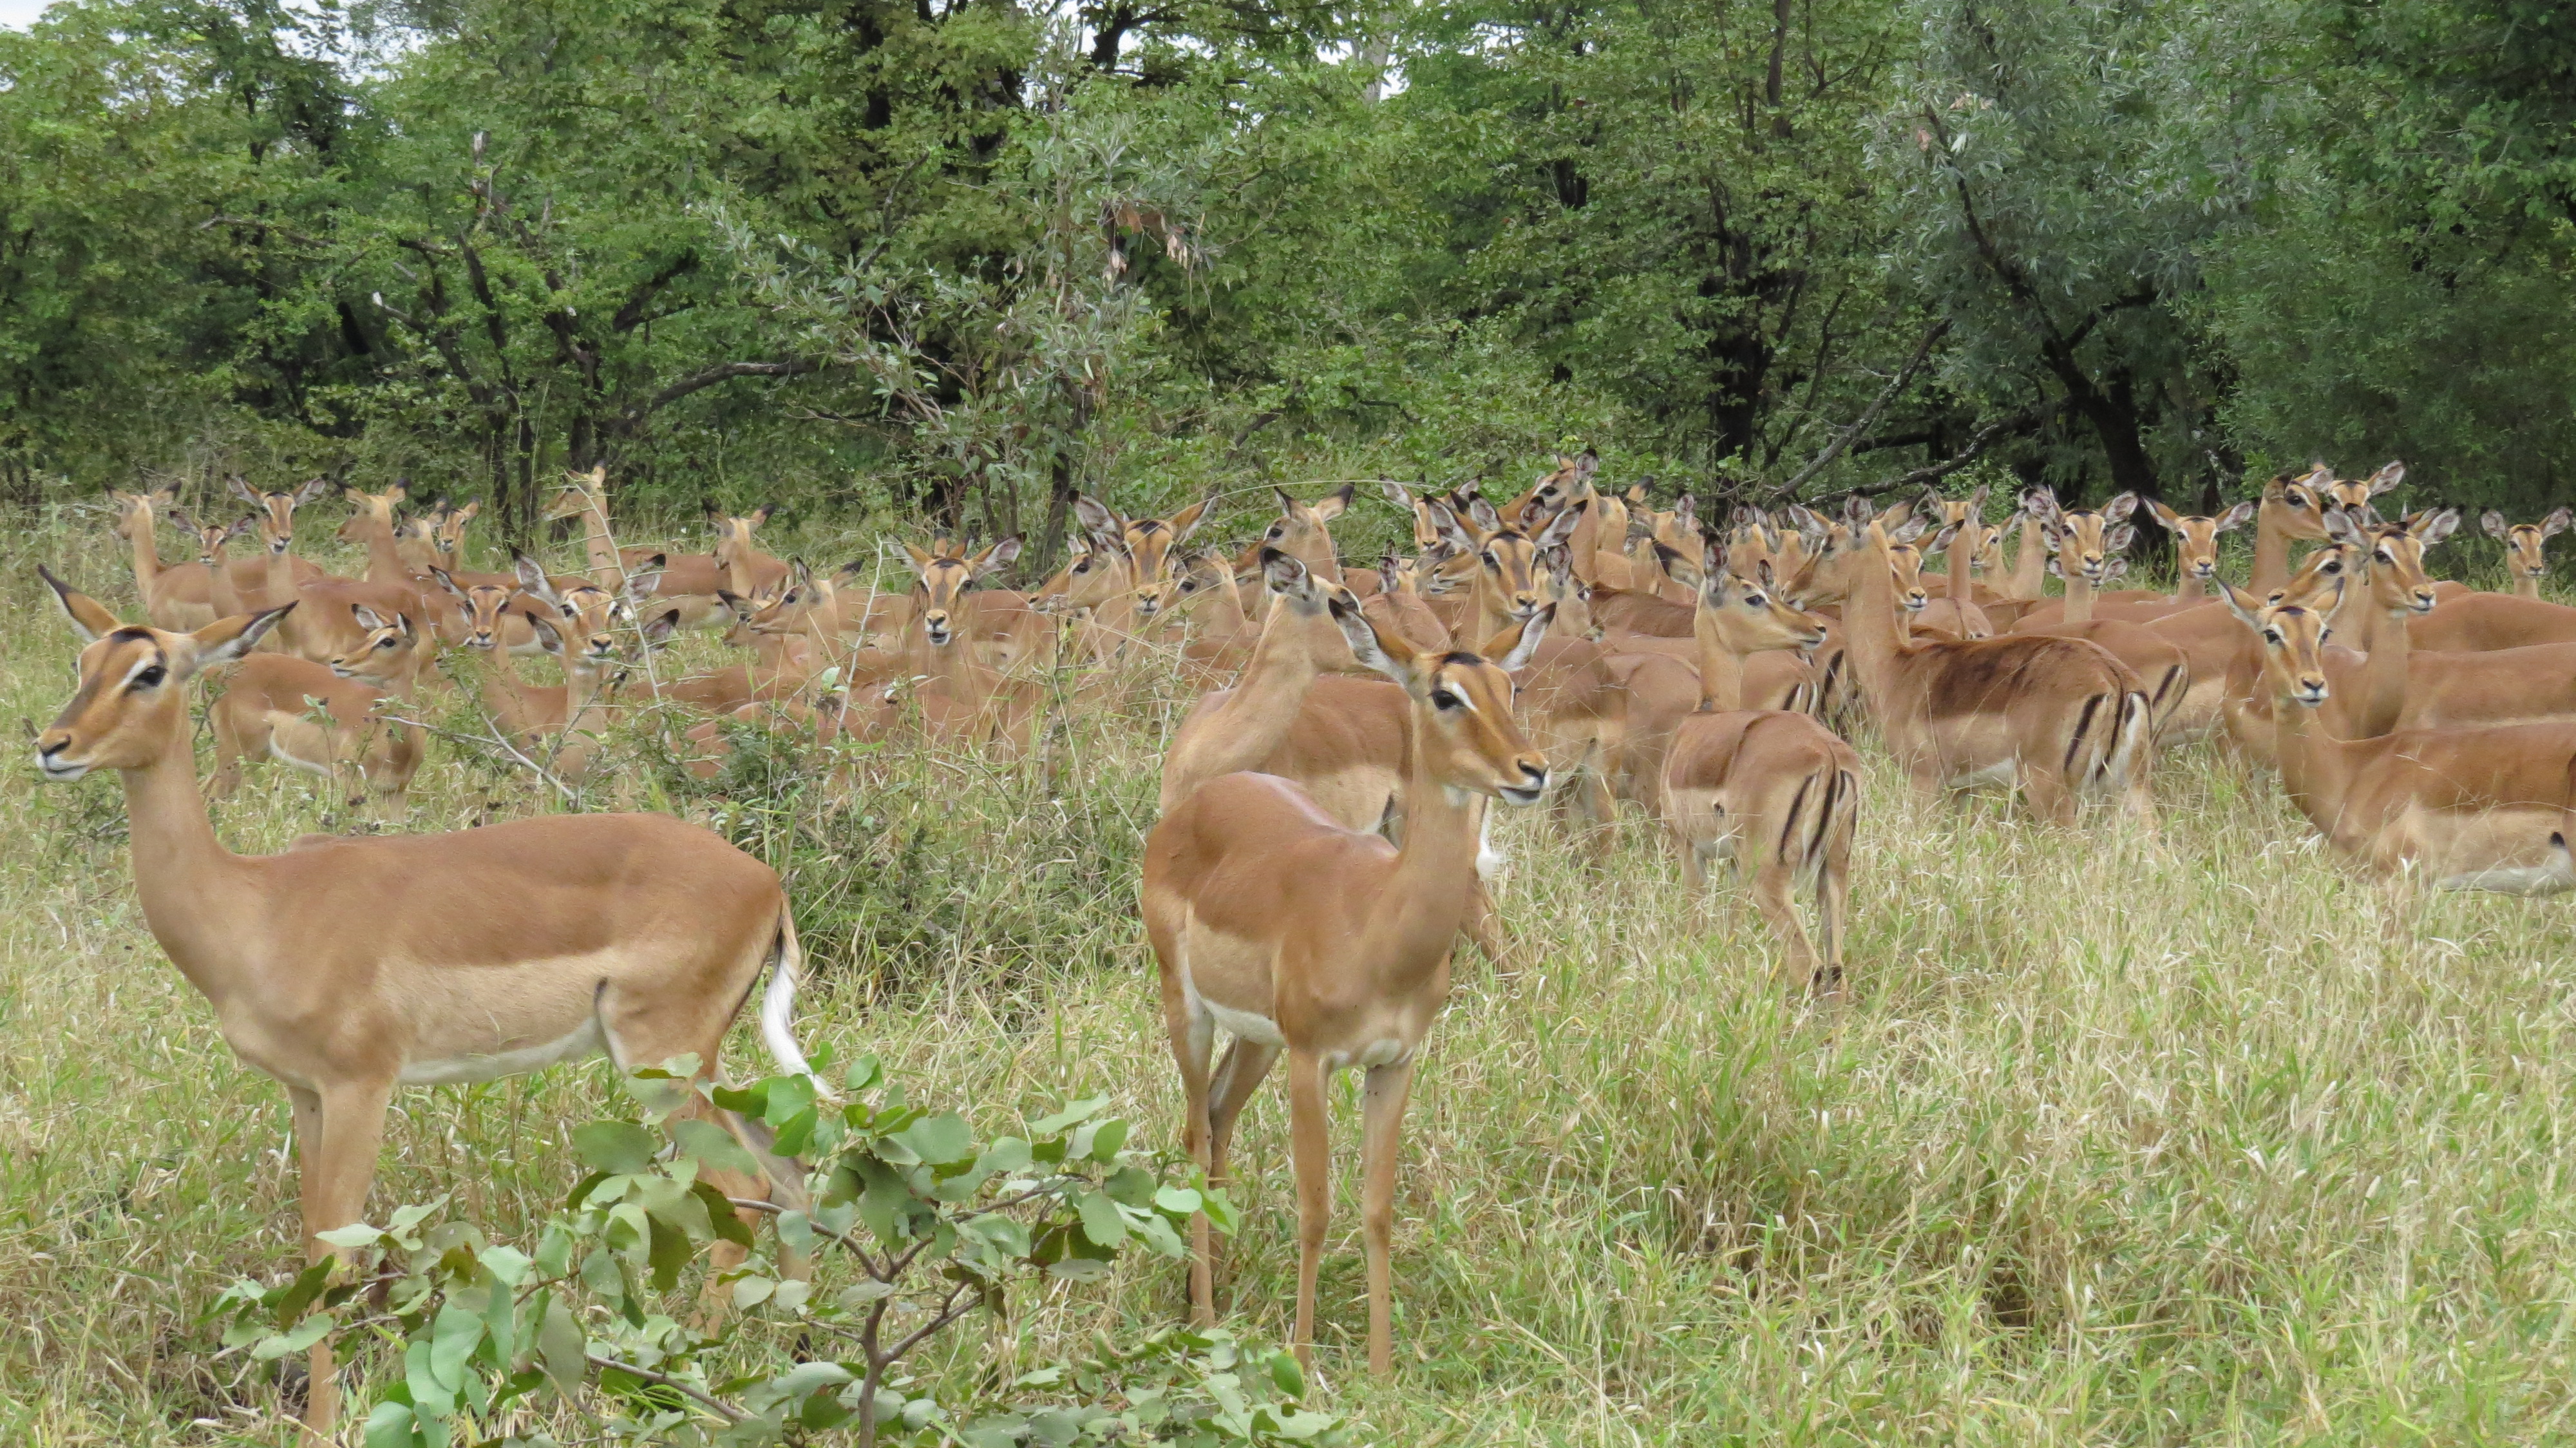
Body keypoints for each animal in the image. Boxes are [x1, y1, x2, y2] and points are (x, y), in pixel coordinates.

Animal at [209, 605, 429, 820]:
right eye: (370, 636)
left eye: (388, 641)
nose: (338, 661)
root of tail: (214, 672)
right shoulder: (349, 783)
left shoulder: (395, 792)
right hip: (236, 756)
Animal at [1144, 593, 1550, 1377]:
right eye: (1444, 694)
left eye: (1509, 687)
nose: (1533, 769)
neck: (1377, 923)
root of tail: (1198, 801)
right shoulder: (1313, 1063)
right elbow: (1315, 1209)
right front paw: (1301, 1363)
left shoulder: (1394, 1064)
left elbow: (1376, 1209)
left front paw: (1383, 1370)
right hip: (1191, 1012)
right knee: (1195, 1132)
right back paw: (1202, 1314)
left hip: (1258, 1040)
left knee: (1218, 1115)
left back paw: (1214, 1283)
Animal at [1660, 559, 1859, 990]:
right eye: (1754, 596)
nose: (1815, 628)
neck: (1703, 717)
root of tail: (1828, 755)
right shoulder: (1734, 864)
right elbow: (1732, 927)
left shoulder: (1688, 847)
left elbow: (1694, 922)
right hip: (1833, 872)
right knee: (1836, 971)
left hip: (1769, 877)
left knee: (1808, 967)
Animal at [1847, 518, 2153, 823]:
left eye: (1919, 565)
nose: (1916, 596)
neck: (1896, 665)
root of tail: (2114, 677)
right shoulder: (1964, 788)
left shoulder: (1924, 780)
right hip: (2131, 787)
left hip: (2048, 789)